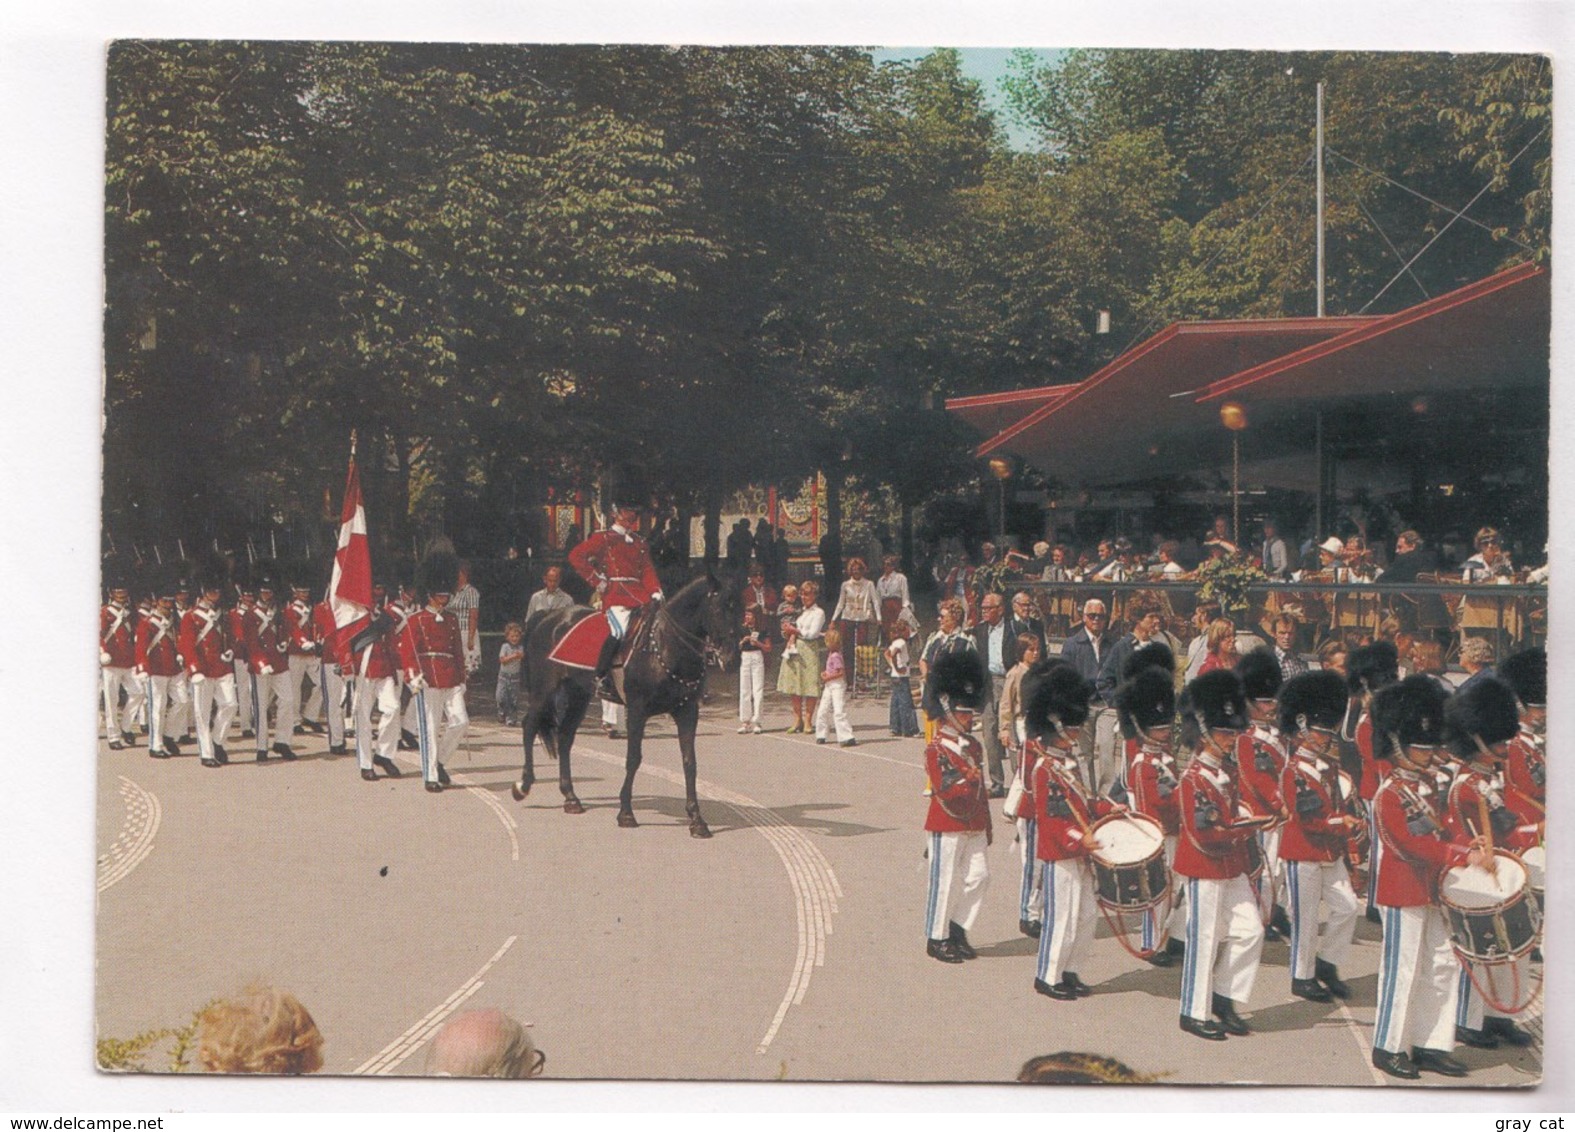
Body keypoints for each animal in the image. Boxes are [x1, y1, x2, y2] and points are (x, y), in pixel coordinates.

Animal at [510, 569, 743, 837]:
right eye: (717, 609)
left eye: (740, 608)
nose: (733, 659)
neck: (666, 644)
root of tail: (548, 616)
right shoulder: (637, 711)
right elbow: (633, 759)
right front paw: (626, 813)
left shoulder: (687, 711)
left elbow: (689, 763)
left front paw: (697, 820)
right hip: (544, 690)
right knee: (529, 726)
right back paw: (523, 785)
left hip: (579, 694)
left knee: (565, 736)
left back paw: (570, 797)